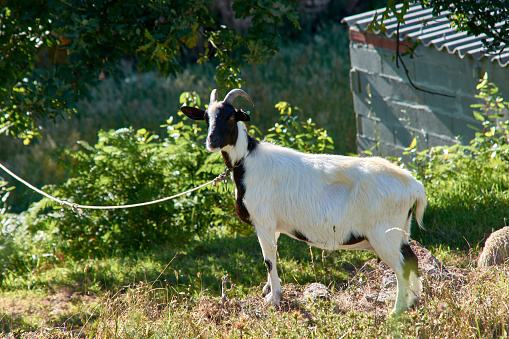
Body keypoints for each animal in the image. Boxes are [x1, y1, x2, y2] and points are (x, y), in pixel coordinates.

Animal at [181, 88, 426, 316]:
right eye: (206, 118)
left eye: (231, 117)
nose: (212, 141)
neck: (248, 162)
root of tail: (413, 185)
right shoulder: (273, 226)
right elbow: (272, 255)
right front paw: (268, 290)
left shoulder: (263, 222)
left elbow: (269, 260)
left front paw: (274, 299)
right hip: (401, 231)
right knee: (412, 259)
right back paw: (415, 300)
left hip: (384, 234)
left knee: (402, 267)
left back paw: (396, 312)